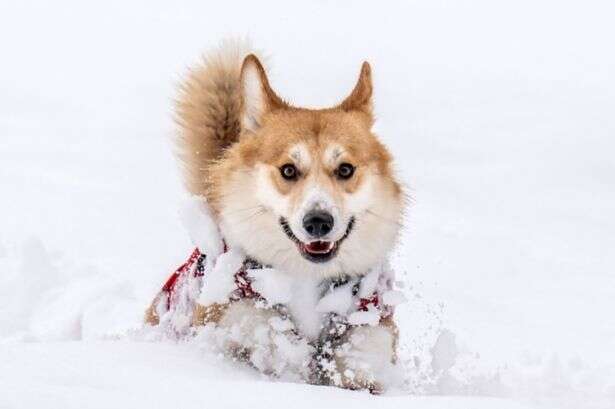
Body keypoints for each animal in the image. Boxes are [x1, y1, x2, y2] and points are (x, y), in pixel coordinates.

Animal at [147, 39, 406, 390]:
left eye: (345, 169)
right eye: (288, 170)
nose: (318, 222)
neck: (307, 277)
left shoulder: (371, 324)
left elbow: (358, 357)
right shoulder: (227, 309)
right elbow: (262, 324)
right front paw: (292, 353)